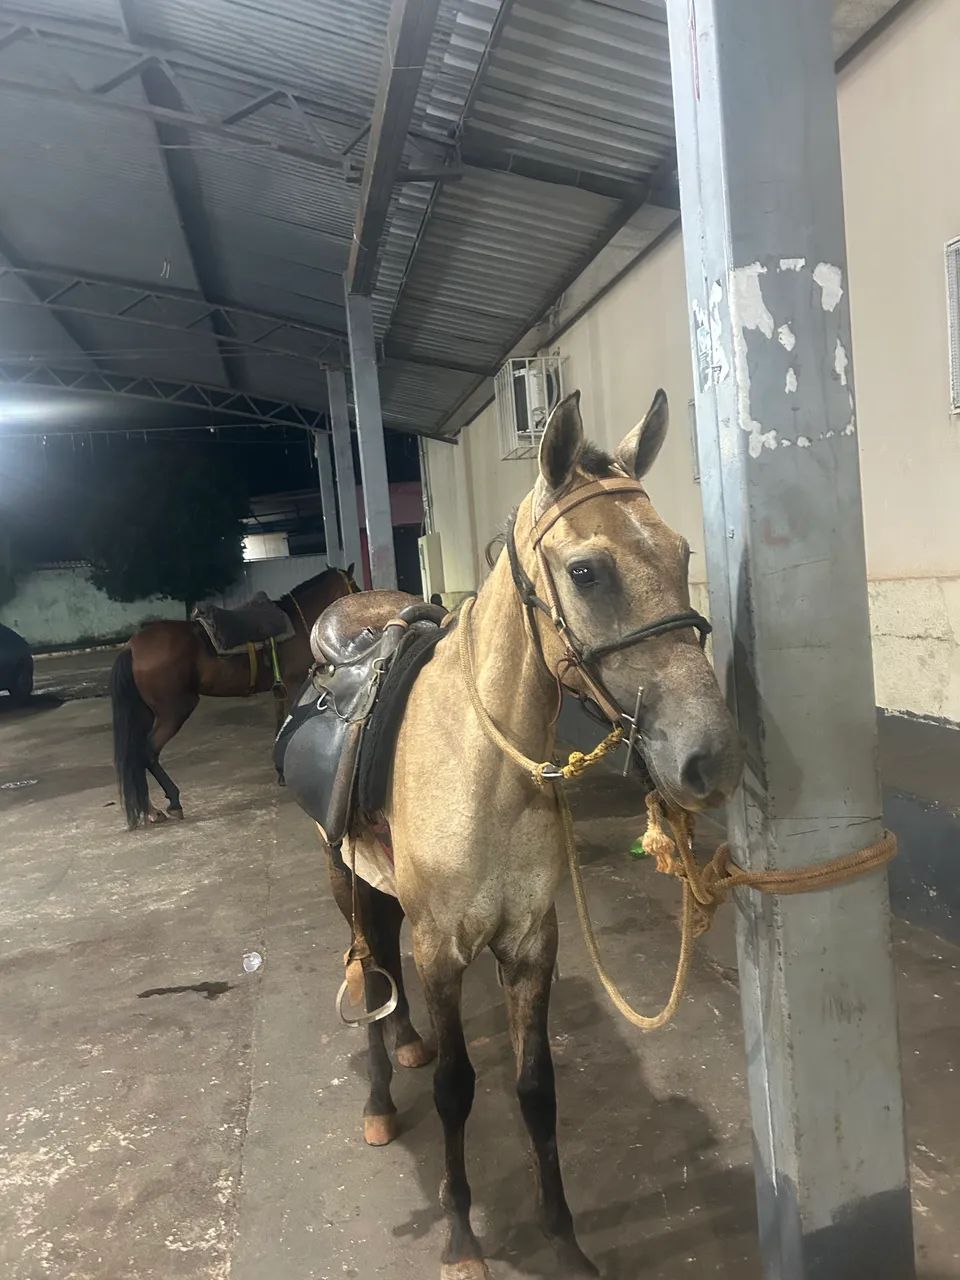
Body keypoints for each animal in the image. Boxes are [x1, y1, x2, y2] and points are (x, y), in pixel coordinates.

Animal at [110, 565, 356, 828]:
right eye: (354, 586)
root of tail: (132, 646)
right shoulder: (295, 684)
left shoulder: (281, 689)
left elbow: (281, 724)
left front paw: (280, 771)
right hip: (174, 712)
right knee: (148, 751)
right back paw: (173, 801)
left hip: (147, 713)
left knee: (136, 755)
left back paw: (151, 810)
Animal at [323, 390, 744, 1279]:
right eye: (587, 572)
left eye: (682, 551)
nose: (710, 757)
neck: (486, 767)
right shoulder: (443, 949)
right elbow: (457, 1091)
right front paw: (461, 1240)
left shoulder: (531, 941)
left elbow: (537, 1088)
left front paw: (564, 1237)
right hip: (343, 880)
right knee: (366, 967)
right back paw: (380, 1100)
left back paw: (404, 1043)